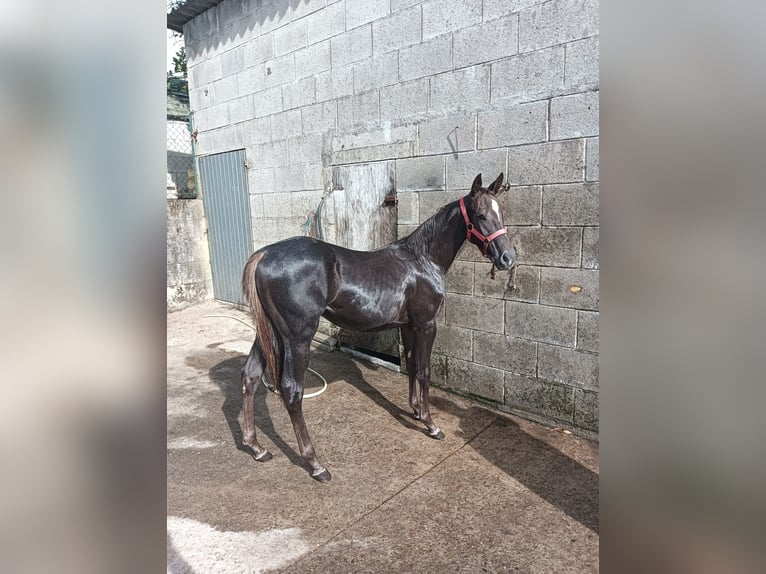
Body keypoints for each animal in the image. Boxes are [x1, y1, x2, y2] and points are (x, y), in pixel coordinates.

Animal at [240, 172, 516, 482]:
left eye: (501, 212)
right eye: (480, 215)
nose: (508, 258)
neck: (423, 259)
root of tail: (264, 255)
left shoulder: (408, 326)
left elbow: (411, 364)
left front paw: (415, 410)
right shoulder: (426, 324)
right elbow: (424, 371)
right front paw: (430, 424)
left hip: (269, 333)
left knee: (251, 376)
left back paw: (256, 447)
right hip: (297, 337)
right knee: (292, 391)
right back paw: (316, 464)